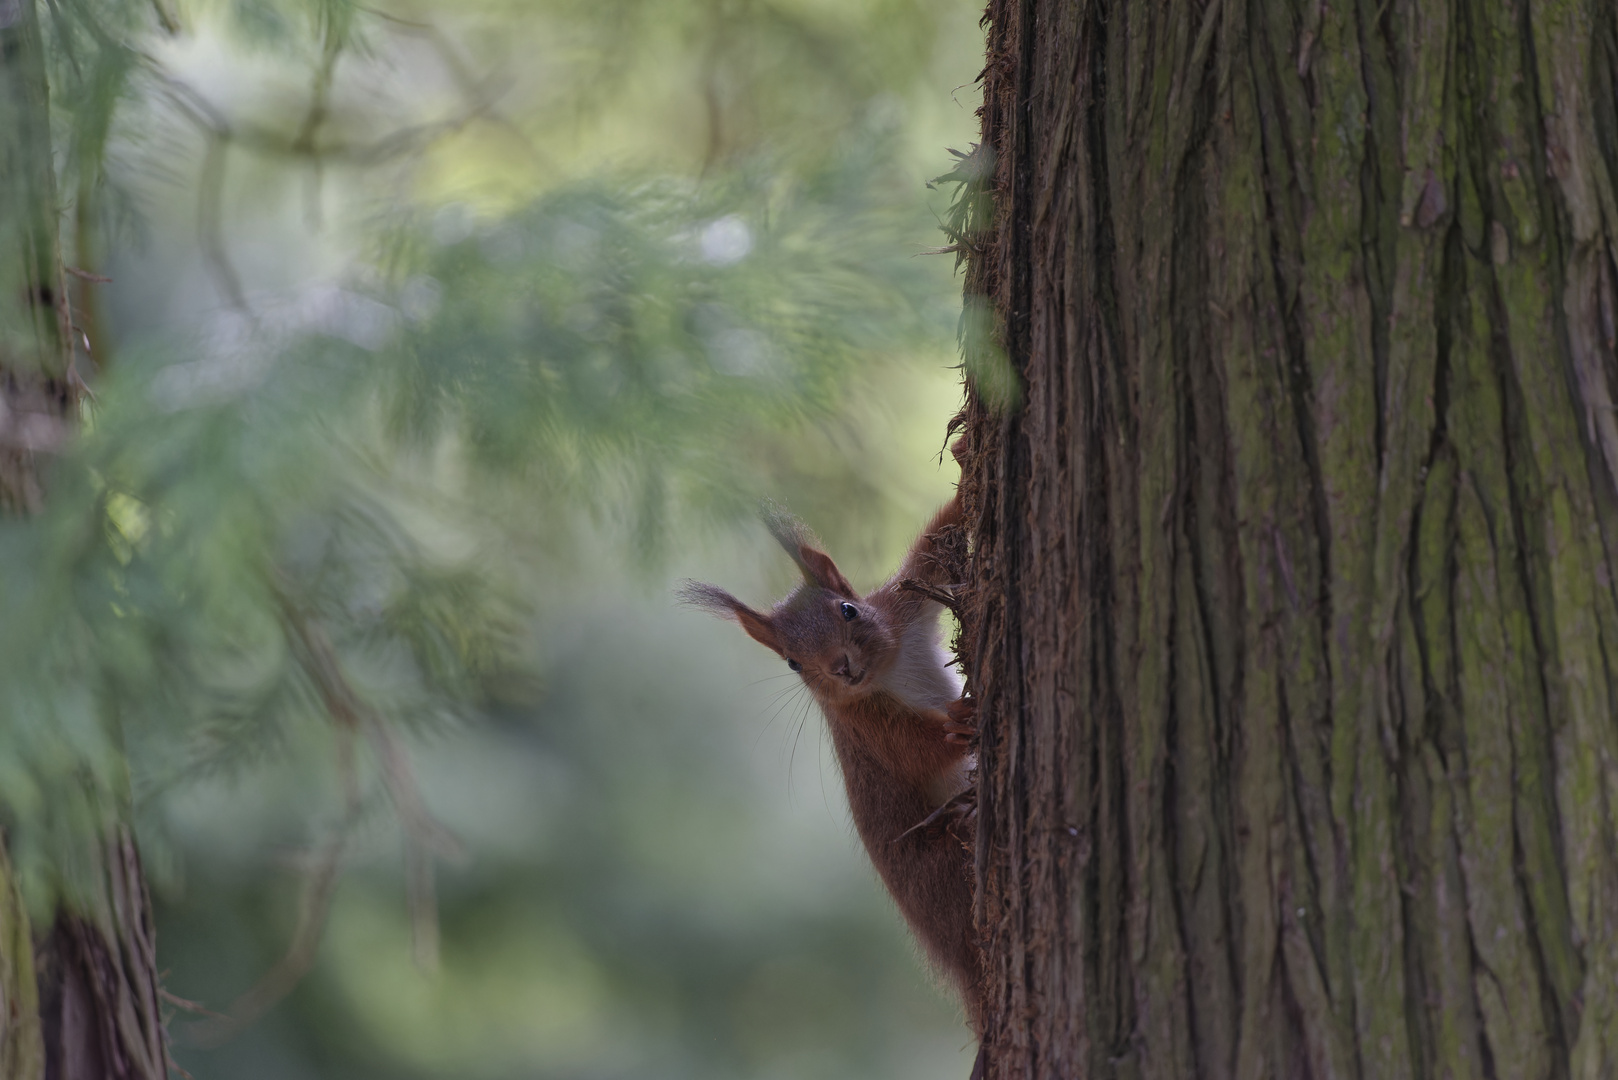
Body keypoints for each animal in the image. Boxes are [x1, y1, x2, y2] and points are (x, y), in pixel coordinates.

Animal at [676, 498, 977, 1036]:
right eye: (793, 663)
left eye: (848, 609)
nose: (841, 667)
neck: (887, 669)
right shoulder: (863, 726)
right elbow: (912, 752)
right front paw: (957, 724)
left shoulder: (901, 608)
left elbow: (934, 548)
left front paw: (966, 478)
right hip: (939, 863)